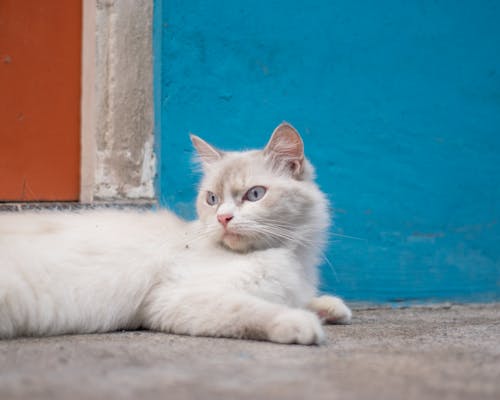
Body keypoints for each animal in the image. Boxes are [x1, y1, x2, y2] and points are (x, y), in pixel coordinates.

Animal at [0, 122, 352, 344]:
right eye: (212, 199)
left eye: (254, 195)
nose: (223, 218)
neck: (289, 255)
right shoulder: (175, 297)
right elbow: (255, 310)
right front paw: (302, 323)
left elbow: (302, 299)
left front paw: (331, 308)